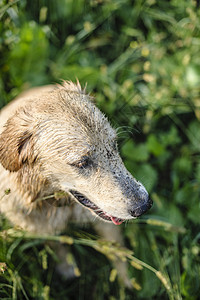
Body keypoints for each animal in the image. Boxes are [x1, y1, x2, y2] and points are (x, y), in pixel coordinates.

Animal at [0, 81, 152, 284]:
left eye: (114, 145)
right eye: (81, 163)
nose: (144, 206)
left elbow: (116, 249)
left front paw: (127, 280)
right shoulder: (39, 227)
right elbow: (56, 245)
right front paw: (66, 267)